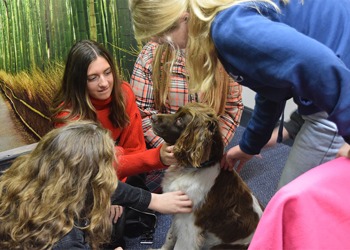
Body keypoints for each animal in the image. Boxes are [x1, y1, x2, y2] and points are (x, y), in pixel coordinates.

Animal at [150, 102, 262, 249]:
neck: (193, 169)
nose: (152, 117)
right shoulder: (178, 215)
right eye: (177, 111)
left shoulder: (189, 227)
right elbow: (170, 236)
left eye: (180, 120)